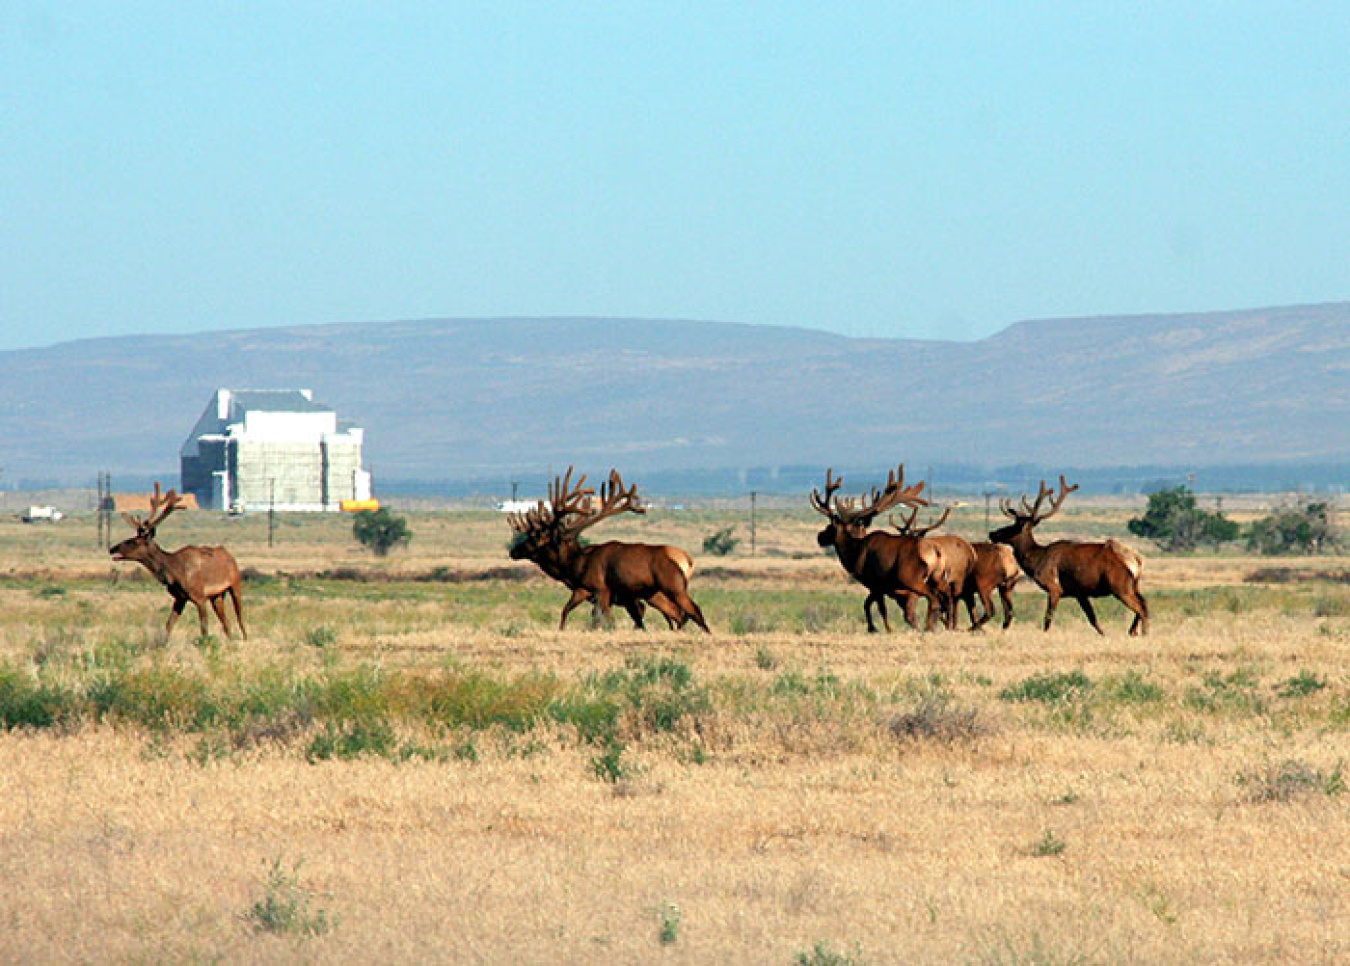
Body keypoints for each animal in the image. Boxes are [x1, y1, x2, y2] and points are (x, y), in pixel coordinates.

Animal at [109, 482, 247, 640]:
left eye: (133, 541)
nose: (112, 548)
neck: (173, 572)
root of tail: (230, 556)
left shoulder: (200, 597)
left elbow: (204, 630)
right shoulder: (180, 598)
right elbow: (168, 626)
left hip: (235, 583)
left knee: (240, 619)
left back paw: (245, 638)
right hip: (217, 595)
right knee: (227, 624)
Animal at [507, 467, 710, 632]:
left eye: (535, 538)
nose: (513, 551)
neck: (575, 566)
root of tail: (688, 560)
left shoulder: (599, 588)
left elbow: (599, 619)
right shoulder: (595, 592)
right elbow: (579, 614)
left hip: (673, 586)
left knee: (693, 611)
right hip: (653, 593)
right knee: (679, 614)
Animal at [810, 465, 945, 632]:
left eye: (830, 527)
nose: (819, 536)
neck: (853, 554)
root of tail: (936, 553)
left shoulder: (874, 583)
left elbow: (877, 607)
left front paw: (880, 628)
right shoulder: (879, 587)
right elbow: (868, 604)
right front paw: (874, 627)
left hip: (911, 579)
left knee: (931, 601)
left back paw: (928, 627)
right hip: (936, 579)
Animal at [989, 476, 1148, 635]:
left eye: (1013, 526)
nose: (992, 533)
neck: (1037, 560)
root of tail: (1136, 561)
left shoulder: (1054, 587)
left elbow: (1048, 619)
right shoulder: (1080, 593)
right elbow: (1093, 620)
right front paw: (1104, 635)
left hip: (1120, 586)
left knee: (1141, 608)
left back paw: (1143, 632)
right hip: (1134, 586)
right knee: (1144, 603)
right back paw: (1133, 631)